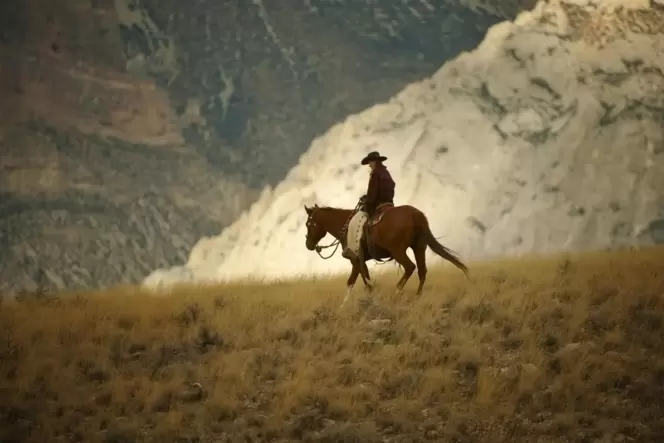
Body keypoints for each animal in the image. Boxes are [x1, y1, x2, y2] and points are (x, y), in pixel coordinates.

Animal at [304, 202, 470, 304]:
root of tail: (415, 214)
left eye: (308, 224)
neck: (345, 225)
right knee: (422, 271)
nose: (308, 245)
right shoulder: (360, 262)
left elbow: (356, 282)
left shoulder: (356, 260)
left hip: (398, 251)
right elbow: (362, 281)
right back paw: (417, 298)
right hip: (419, 247)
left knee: (410, 267)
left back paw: (397, 291)